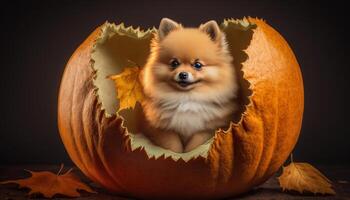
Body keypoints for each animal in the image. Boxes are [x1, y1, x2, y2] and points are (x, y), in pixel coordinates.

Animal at [139, 18, 238, 153]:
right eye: (174, 63)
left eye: (198, 65)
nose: (183, 74)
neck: (187, 98)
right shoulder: (162, 129)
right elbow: (173, 145)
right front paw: (177, 153)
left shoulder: (208, 128)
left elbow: (196, 144)